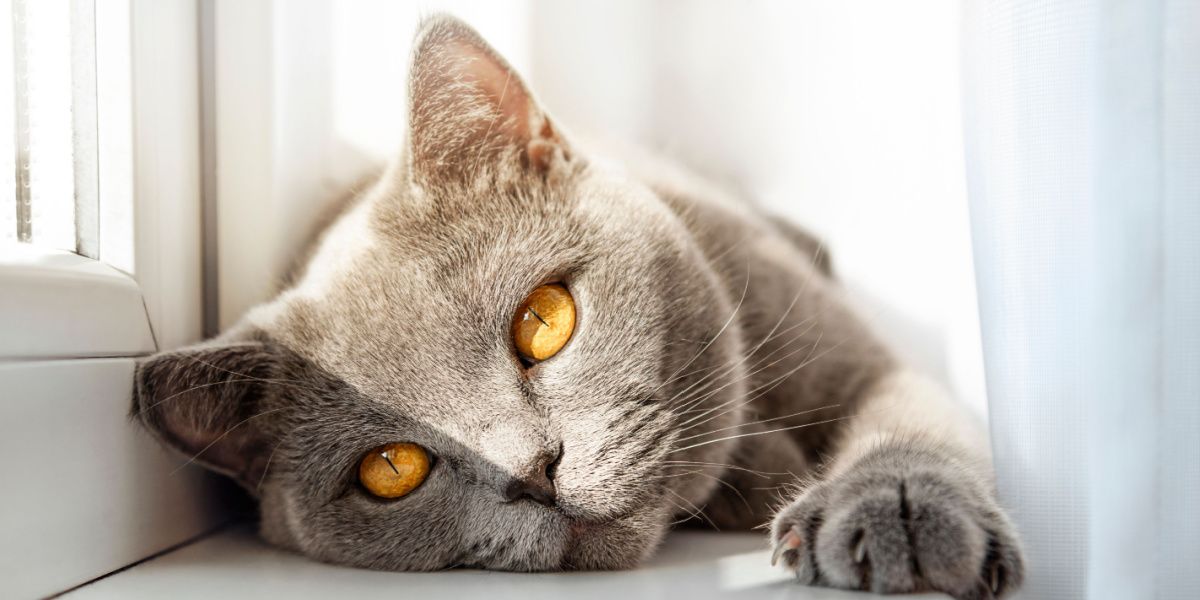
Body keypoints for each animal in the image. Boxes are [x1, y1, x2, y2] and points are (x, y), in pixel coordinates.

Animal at [133, 15, 1022, 600]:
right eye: (390, 469)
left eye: (543, 320)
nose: (533, 474)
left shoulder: (852, 354)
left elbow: (910, 417)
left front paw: (897, 510)